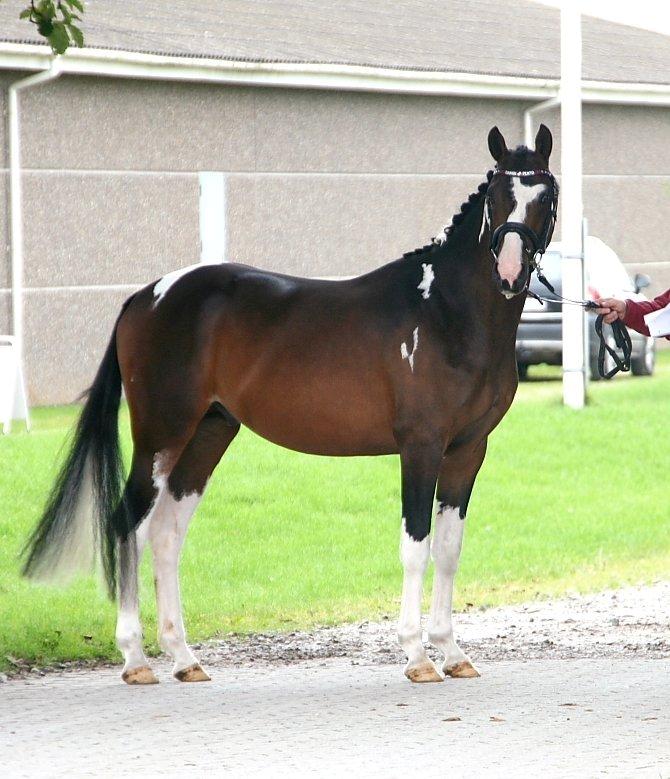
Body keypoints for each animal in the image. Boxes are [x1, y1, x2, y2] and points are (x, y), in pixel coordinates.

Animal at [22, 125, 556, 684]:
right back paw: (135, 659)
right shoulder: (421, 447)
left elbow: (449, 550)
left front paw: (452, 653)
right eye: (495, 196)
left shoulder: (467, 451)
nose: (510, 272)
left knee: (167, 535)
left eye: (545, 194)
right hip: (160, 434)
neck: (445, 312)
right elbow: (416, 547)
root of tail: (146, 296)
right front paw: (417, 657)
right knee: (129, 523)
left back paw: (185, 658)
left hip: (208, 433)